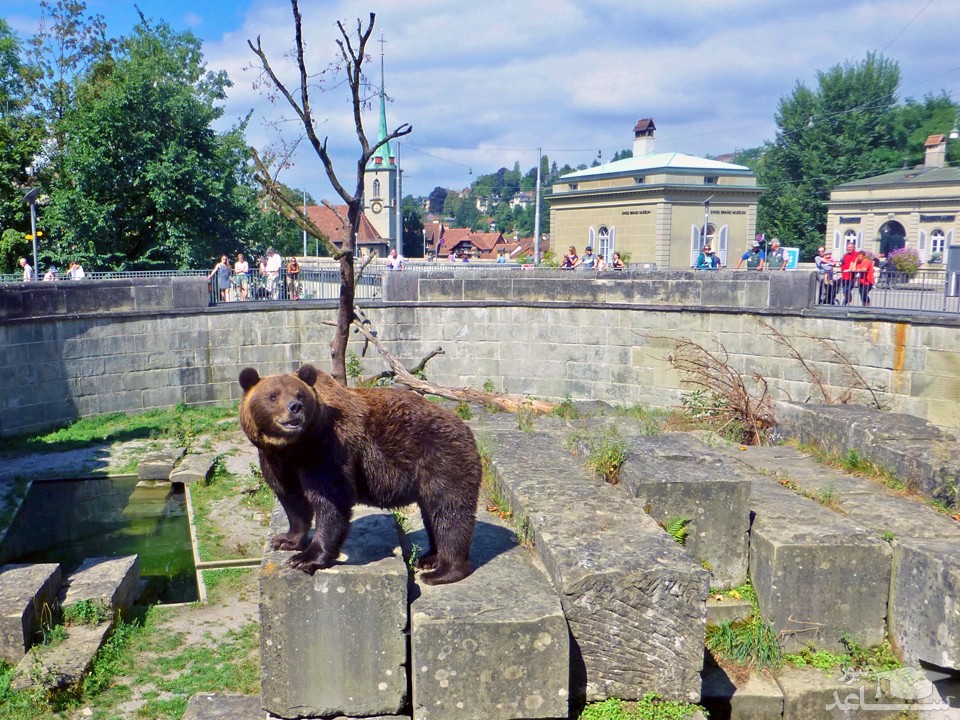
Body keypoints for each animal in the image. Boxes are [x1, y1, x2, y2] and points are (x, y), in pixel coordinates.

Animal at [237, 366, 484, 584]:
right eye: (272, 395)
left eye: (300, 394)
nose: (295, 407)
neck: (294, 448)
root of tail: (465, 428)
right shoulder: (275, 461)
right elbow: (292, 500)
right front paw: (285, 540)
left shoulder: (328, 451)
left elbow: (331, 501)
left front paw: (305, 558)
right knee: (433, 514)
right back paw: (429, 558)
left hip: (442, 459)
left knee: (449, 512)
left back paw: (442, 571)